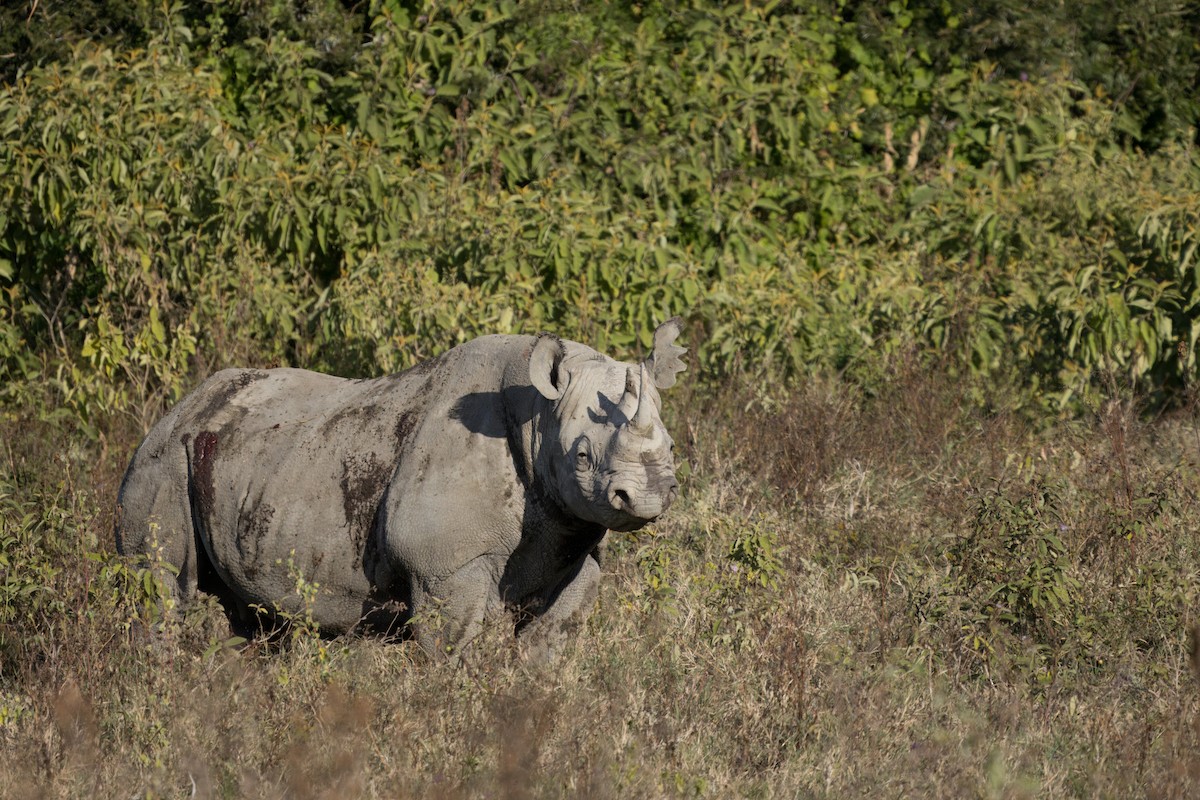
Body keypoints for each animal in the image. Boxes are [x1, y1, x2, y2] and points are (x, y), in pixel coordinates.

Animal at [115, 319, 686, 658]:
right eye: (582, 457)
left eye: (673, 446)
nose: (645, 497)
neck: (538, 420)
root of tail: (178, 407)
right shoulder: (446, 568)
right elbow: (451, 649)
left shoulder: (574, 548)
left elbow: (547, 648)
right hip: (161, 458)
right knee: (160, 585)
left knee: (249, 617)